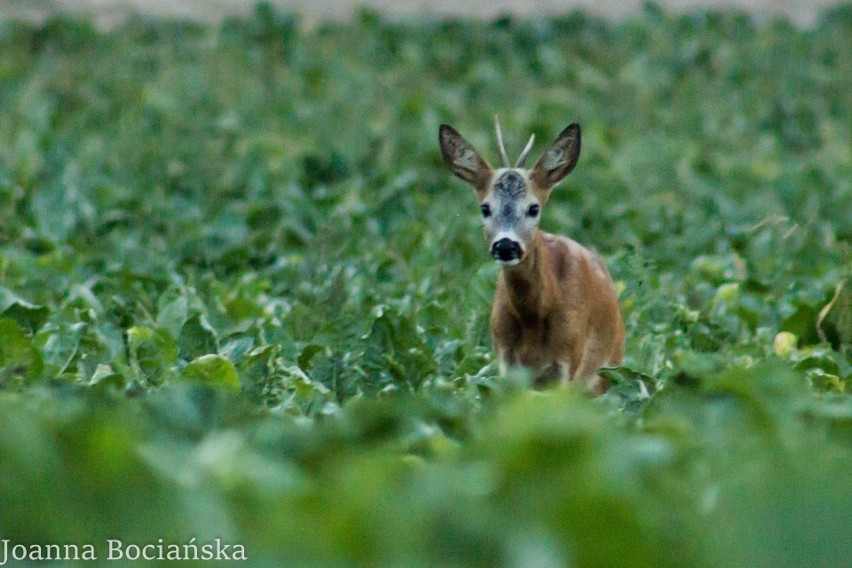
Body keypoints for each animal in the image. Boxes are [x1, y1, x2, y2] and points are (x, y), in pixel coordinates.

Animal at [442, 117, 624, 392]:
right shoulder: (505, 358)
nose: (506, 245)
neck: (533, 318)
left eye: (533, 208)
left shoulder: (567, 360)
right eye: (485, 208)